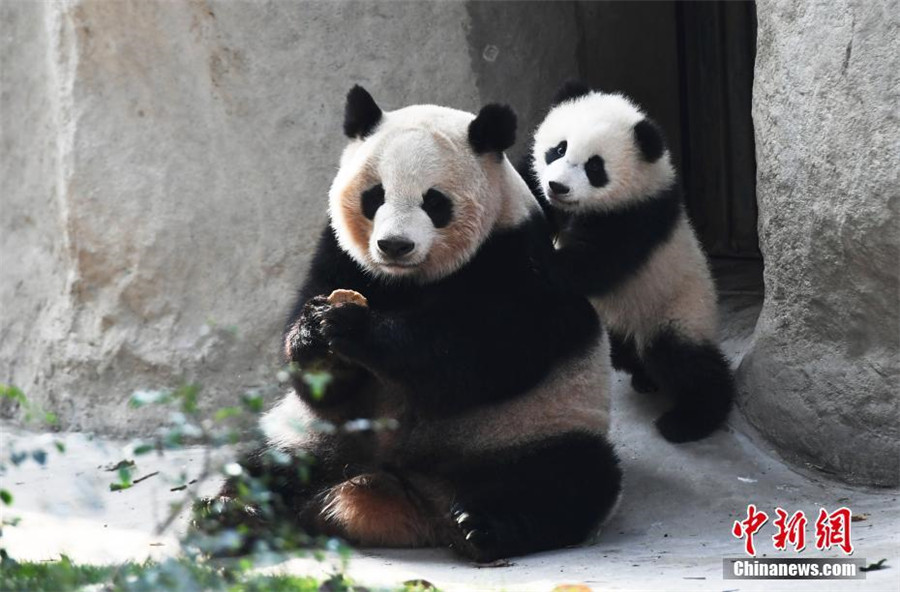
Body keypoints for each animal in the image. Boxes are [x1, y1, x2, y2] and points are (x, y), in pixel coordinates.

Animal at [196, 85, 620, 560]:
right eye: (375, 196)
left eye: (434, 202)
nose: (394, 245)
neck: (406, 279)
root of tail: (407, 497)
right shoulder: (340, 255)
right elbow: (317, 375)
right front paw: (313, 336)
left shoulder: (517, 264)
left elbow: (474, 355)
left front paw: (352, 327)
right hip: (316, 435)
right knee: (268, 463)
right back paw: (232, 514)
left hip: (531, 427)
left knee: (564, 479)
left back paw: (482, 526)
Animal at [524, 82, 736, 444]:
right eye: (559, 149)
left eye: (595, 168)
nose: (558, 186)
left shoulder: (639, 218)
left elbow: (594, 265)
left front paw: (539, 258)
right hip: (615, 319)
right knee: (624, 352)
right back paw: (643, 376)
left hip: (676, 309)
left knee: (683, 360)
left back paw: (690, 419)